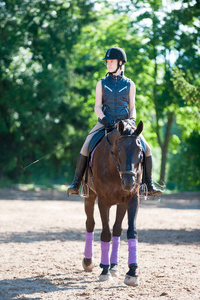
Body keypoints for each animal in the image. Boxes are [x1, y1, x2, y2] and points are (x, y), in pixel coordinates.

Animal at [82, 119, 143, 286]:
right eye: (119, 149)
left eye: (140, 151)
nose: (128, 182)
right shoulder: (103, 201)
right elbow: (105, 233)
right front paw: (104, 271)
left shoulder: (132, 199)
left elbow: (131, 231)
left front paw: (132, 272)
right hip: (90, 196)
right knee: (90, 224)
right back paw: (88, 261)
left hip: (121, 204)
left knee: (117, 229)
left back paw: (114, 266)